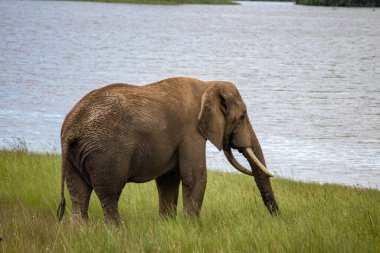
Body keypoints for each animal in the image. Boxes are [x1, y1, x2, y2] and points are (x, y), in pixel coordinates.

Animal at [57, 77, 280, 223]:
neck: (208, 84)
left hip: (74, 156)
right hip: (105, 154)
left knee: (78, 194)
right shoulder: (191, 130)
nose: (277, 216)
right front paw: (190, 227)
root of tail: (71, 129)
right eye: (242, 117)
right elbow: (195, 176)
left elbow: (168, 180)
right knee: (109, 194)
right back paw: (117, 231)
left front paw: (168, 225)